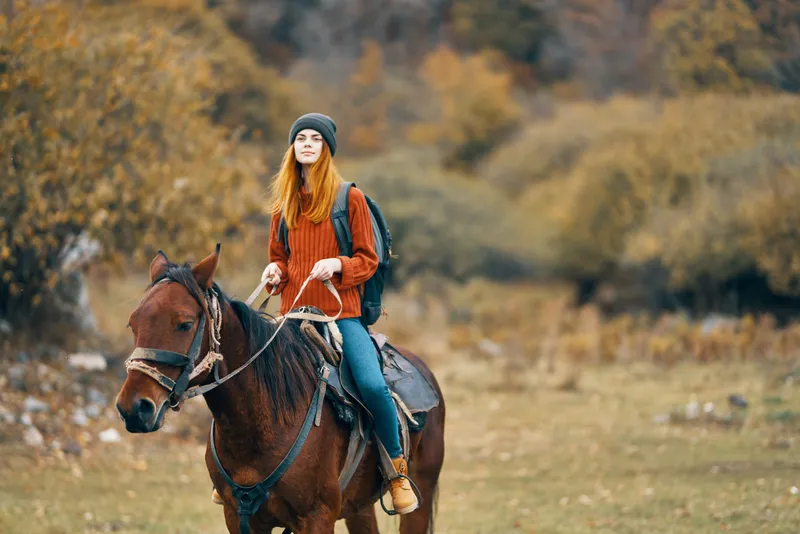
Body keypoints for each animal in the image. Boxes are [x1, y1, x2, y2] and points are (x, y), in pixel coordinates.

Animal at [114, 245, 446, 533]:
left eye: (184, 324)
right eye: (133, 323)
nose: (134, 408)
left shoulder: (317, 518)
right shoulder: (240, 518)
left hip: (420, 493)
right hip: (358, 506)